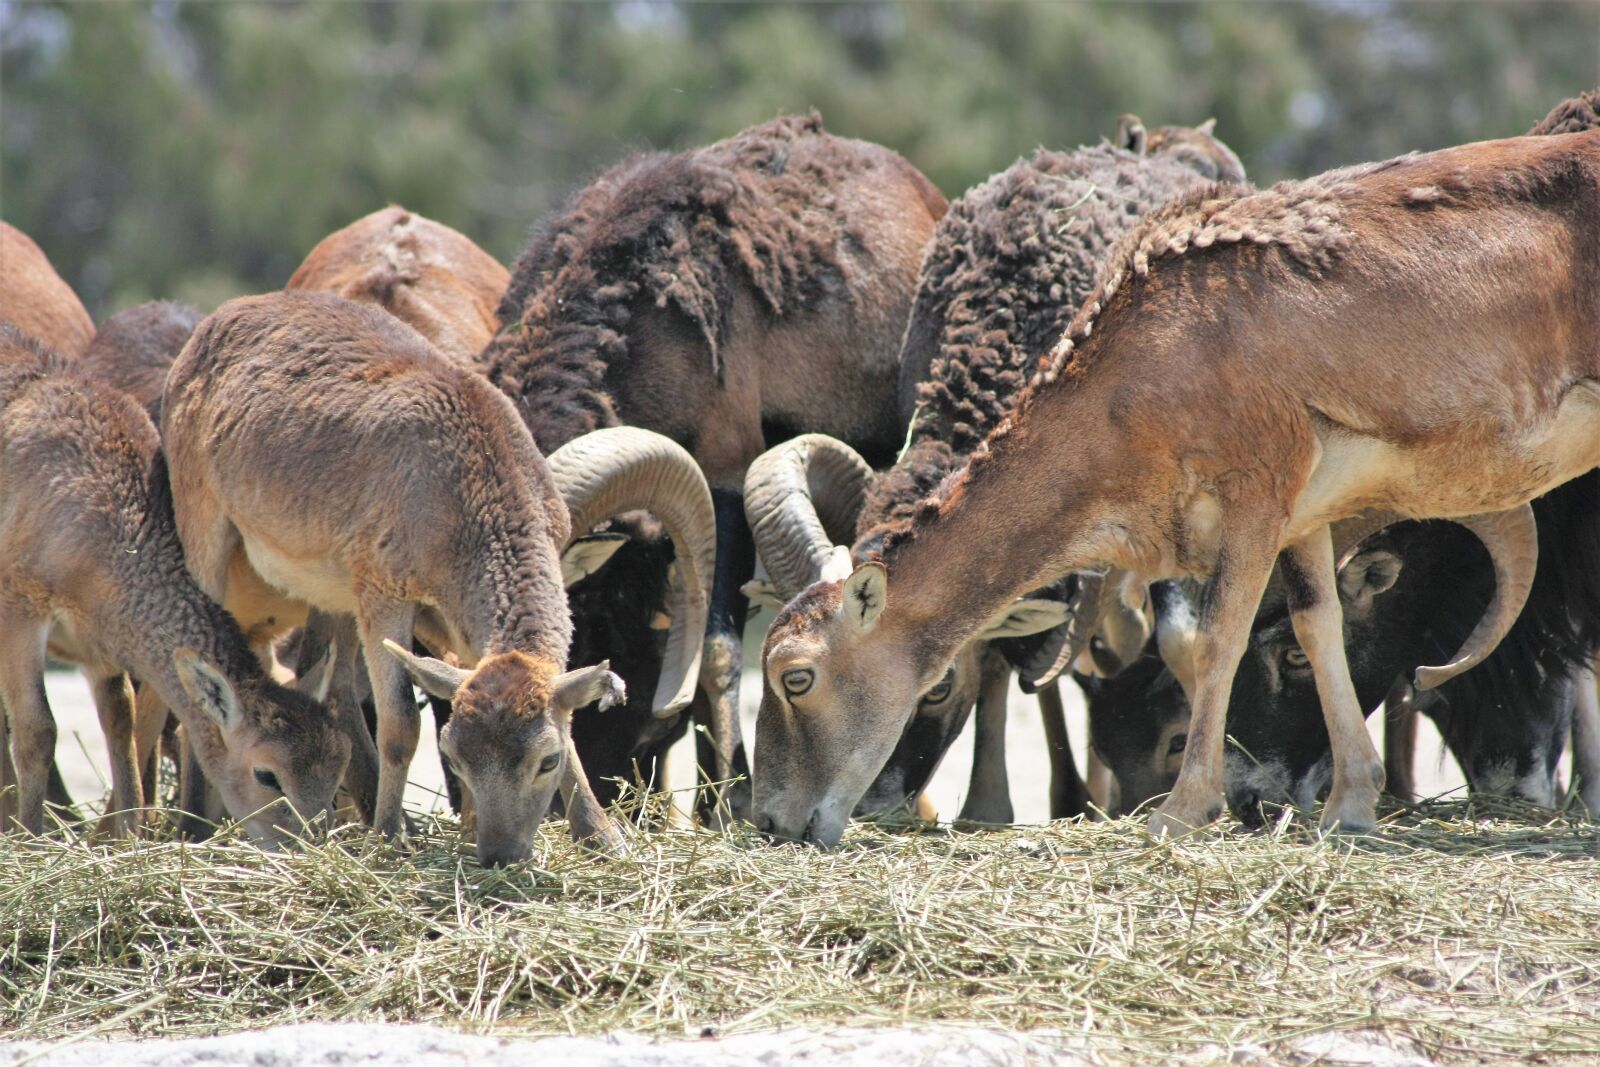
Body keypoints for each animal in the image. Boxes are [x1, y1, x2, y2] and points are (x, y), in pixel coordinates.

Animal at [162, 292, 717, 865]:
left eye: (546, 760)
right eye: (454, 755)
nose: (499, 854)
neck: (467, 491)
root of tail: (216, 323)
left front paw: (601, 837)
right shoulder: (385, 596)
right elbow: (401, 723)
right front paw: (389, 837)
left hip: (333, 598)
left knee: (331, 687)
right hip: (208, 539)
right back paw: (195, 826)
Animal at [752, 130, 1598, 845]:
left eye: (796, 675)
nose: (773, 819)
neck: (1158, 353)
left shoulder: (1256, 492)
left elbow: (1218, 635)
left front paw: (1182, 810)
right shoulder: (1305, 516)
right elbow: (1318, 624)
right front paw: (1349, 807)